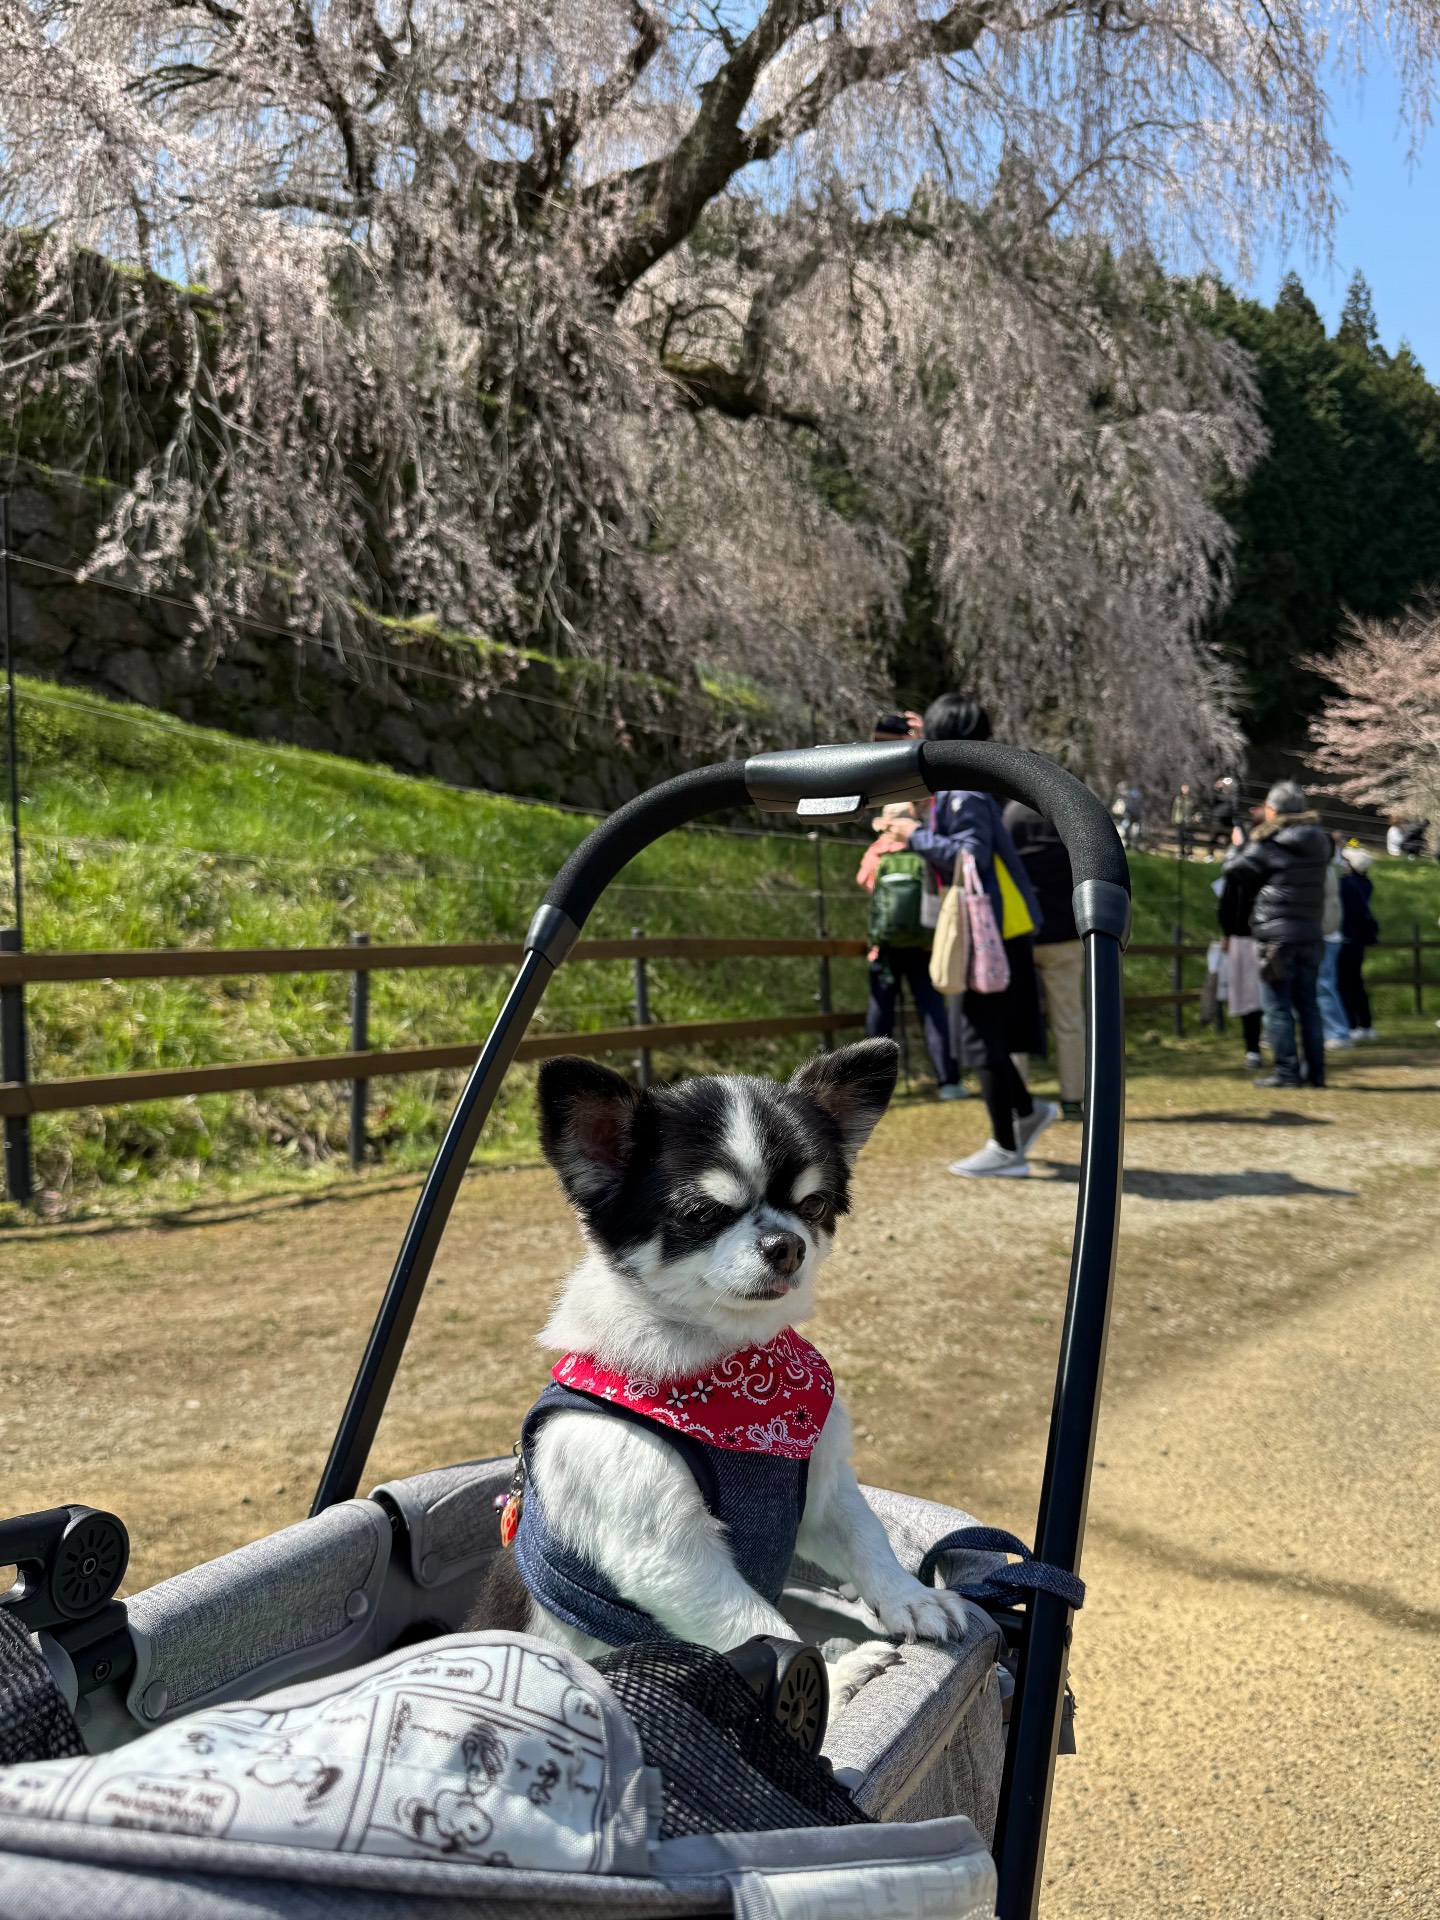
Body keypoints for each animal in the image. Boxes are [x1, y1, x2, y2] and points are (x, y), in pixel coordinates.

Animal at [468, 1038, 969, 1702]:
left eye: (814, 1204)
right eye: (702, 1213)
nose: (788, 1243)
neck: (736, 1372)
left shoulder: (823, 1496)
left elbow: (870, 1540)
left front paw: (912, 1599)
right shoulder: (671, 1557)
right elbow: (765, 1629)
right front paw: (828, 1683)